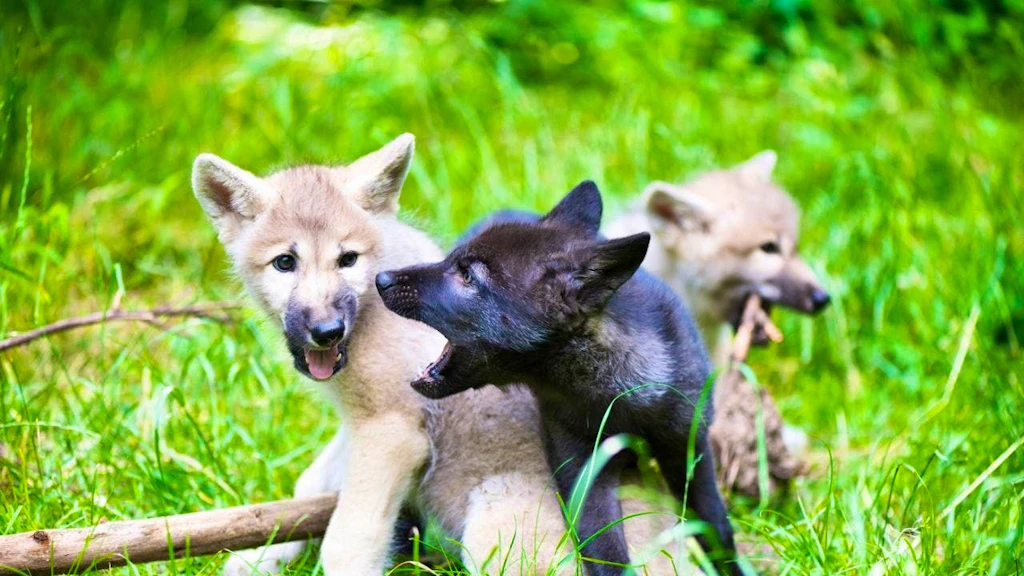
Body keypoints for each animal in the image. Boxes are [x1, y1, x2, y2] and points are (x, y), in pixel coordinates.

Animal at [193, 136, 683, 576]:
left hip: (494, 535)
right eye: (284, 263)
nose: (327, 331)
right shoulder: (358, 426)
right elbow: (307, 485)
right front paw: (259, 558)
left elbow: (347, 542)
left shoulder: (390, 430)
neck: (370, 314)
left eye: (347, 259)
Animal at [377, 182, 743, 576]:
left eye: (468, 276)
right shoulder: (584, 475)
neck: (619, 398)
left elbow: (716, 530)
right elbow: (607, 555)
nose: (380, 279)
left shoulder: (689, 451)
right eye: (453, 262)